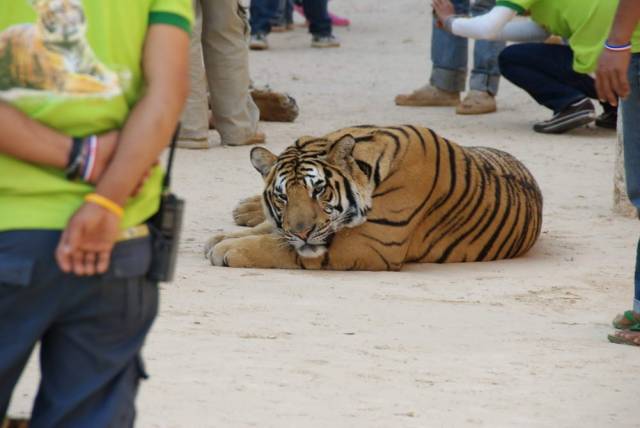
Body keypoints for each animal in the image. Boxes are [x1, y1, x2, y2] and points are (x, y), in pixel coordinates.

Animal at [206, 124, 544, 270]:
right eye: (283, 197)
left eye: (319, 190)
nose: (302, 232)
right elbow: (274, 230)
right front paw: (222, 237)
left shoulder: (370, 245)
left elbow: (280, 247)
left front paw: (227, 248)